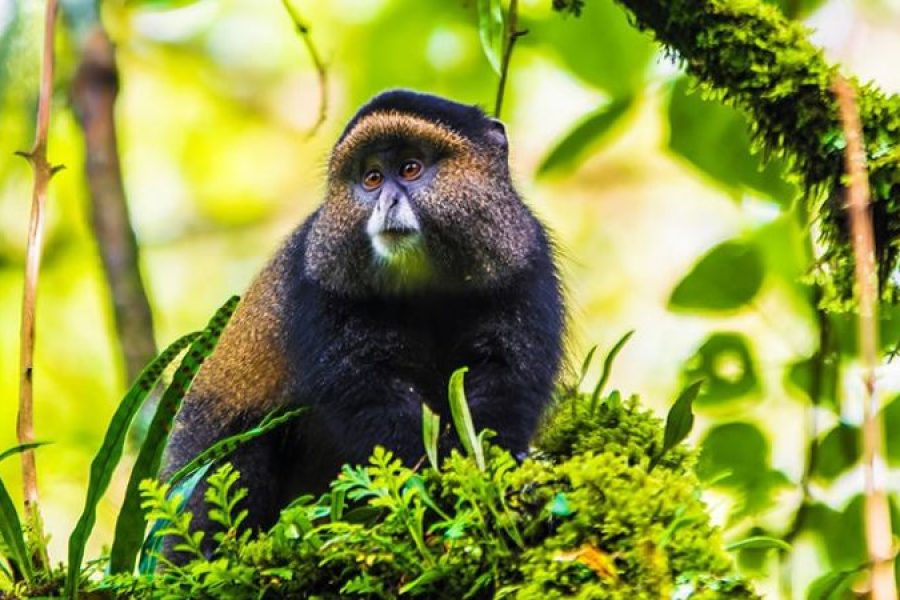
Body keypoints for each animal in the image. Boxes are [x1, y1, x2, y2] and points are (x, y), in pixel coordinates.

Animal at [161, 89, 566, 550]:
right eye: (371, 178)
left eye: (410, 169)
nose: (386, 201)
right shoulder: (321, 288)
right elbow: (369, 393)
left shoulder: (525, 269)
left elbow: (504, 377)